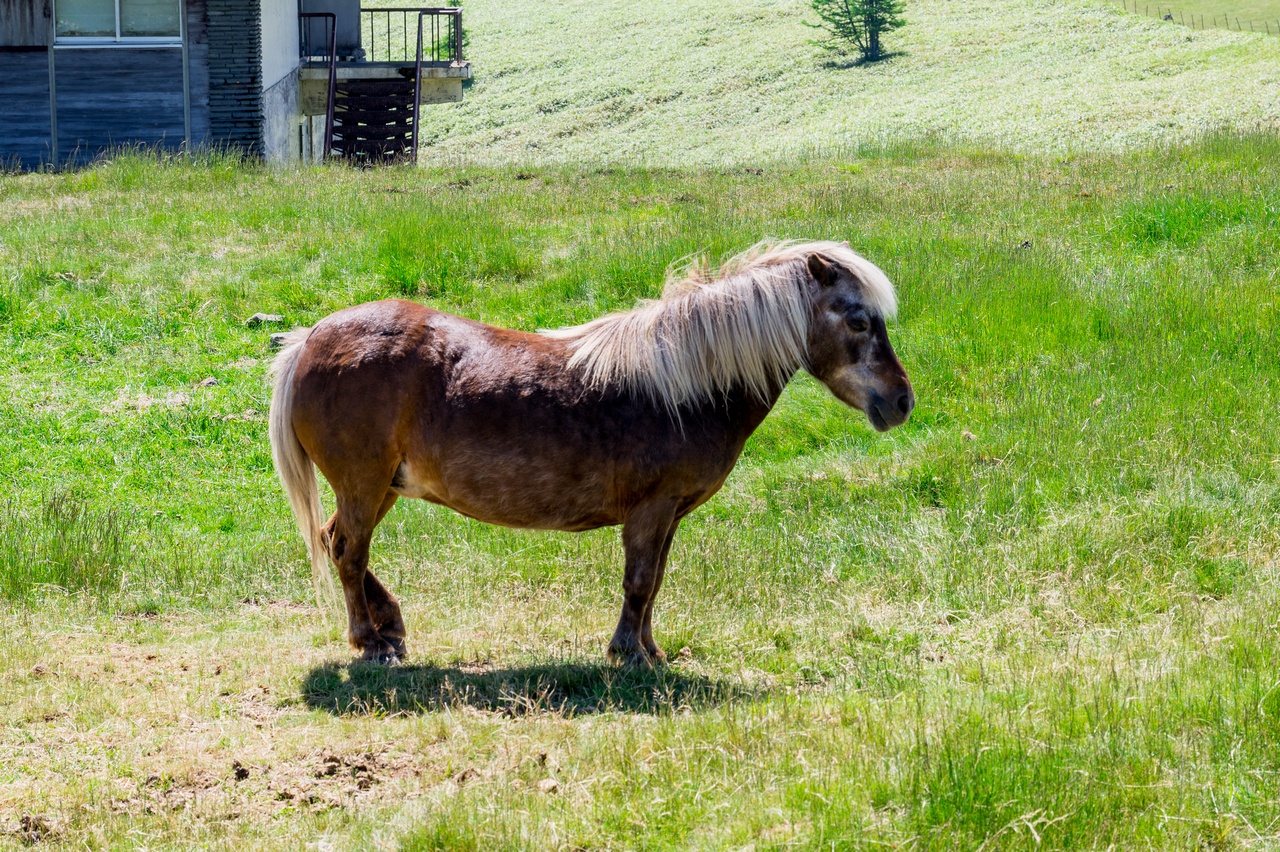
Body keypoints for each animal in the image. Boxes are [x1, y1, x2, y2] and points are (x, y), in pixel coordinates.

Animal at [268, 240, 914, 666]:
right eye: (859, 321)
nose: (902, 401)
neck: (683, 385)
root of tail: (311, 338)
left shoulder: (667, 515)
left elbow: (654, 581)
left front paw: (648, 648)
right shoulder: (652, 510)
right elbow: (640, 581)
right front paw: (630, 654)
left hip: (383, 487)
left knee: (336, 543)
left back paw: (391, 628)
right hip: (364, 484)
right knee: (349, 551)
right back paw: (370, 642)